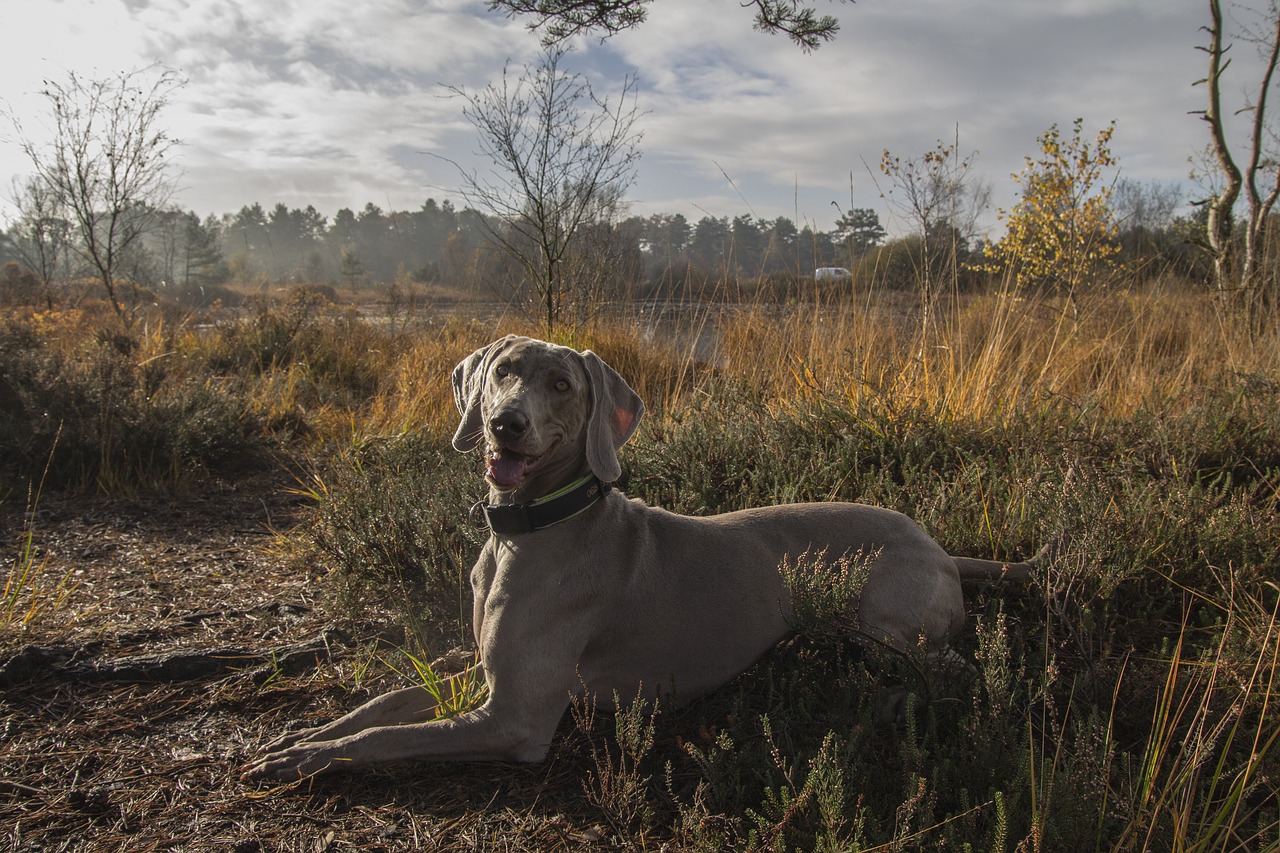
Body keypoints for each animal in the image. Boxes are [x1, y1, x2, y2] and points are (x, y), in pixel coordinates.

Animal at [244, 333, 1034, 778]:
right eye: (503, 372)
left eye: (562, 385)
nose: (505, 423)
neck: (525, 531)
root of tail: (940, 544)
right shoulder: (484, 671)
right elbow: (384, 703)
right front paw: (305, 733)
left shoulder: (514, 718)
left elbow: (389, 736)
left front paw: (310, 758)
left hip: (884, 623)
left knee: (963, 670)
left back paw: (892, 702)